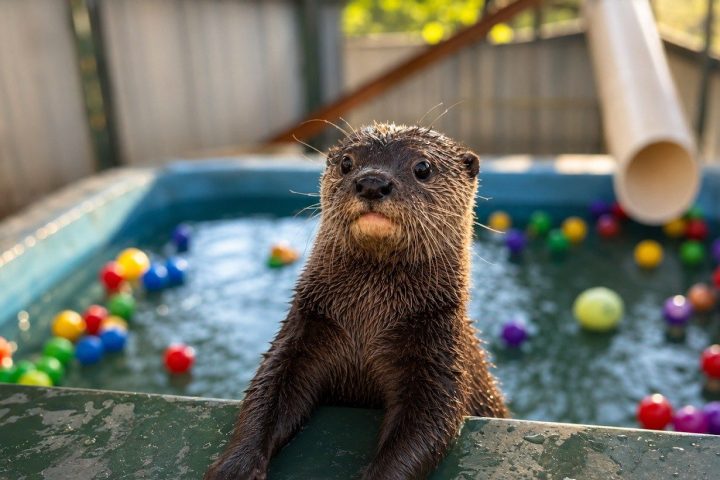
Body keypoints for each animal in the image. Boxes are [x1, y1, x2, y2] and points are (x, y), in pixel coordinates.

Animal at [205, 123, 508, 480]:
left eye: (423, 167)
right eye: (347, 163)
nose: (372, 182)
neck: (368, 319)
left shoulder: (440, 349)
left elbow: (428, 423)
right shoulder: (303, 327)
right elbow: (265, 394)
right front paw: (235, 467)